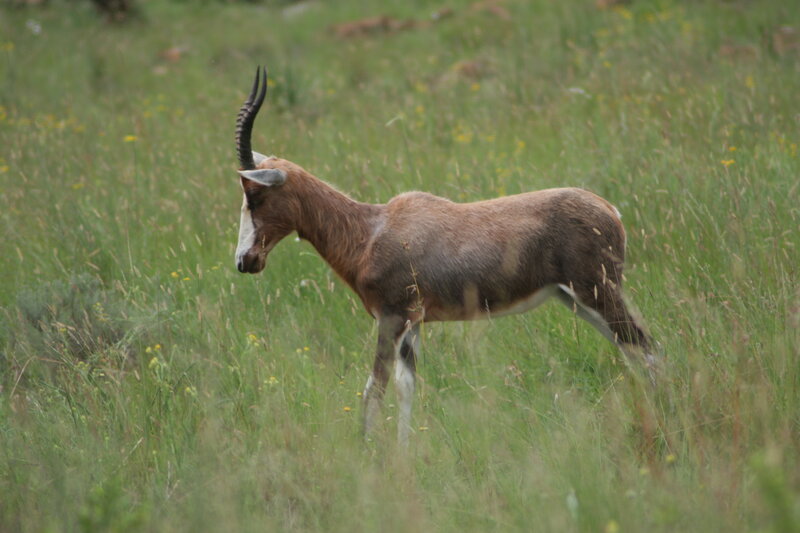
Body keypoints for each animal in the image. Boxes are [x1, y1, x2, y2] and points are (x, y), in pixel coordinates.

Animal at [233, 67, 657, 445]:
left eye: (254, 195)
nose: (244, 261)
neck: (371, 229)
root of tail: (610, 210)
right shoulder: (414, 322)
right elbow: (406, 387)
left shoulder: (391, 318)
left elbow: (374, 388)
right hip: (577, 301)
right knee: (632, 351)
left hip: (598, 293)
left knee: (647, 350)